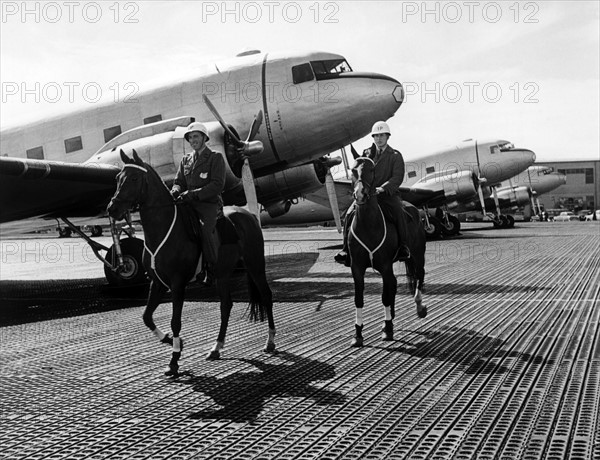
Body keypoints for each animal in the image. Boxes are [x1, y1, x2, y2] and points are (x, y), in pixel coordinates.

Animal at [108, 149, 276, 376]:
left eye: (134, 178)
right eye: (118, 178)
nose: (112, 208)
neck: (163, 229)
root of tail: (248, 214)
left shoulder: (178, 283)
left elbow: (175, 321)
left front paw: (174, 360)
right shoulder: (157, 282)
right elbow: (146, 317)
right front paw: (170, 340)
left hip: (255, 265)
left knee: (266, 296)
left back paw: (270, 341)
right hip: (222, 274)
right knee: (226, 305)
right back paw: (216, 347)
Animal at [346, 156, 426, 346]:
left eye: (372, 169)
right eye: (352, 169)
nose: (360, 194)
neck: (368, 225)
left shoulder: (384, 265)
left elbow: (384, 297)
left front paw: (388, 329)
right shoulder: (357, 268)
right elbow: (358, 298)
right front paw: (358, 333)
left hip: (418, 254)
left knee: (419, 275)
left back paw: (419, 306)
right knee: (394, 283)